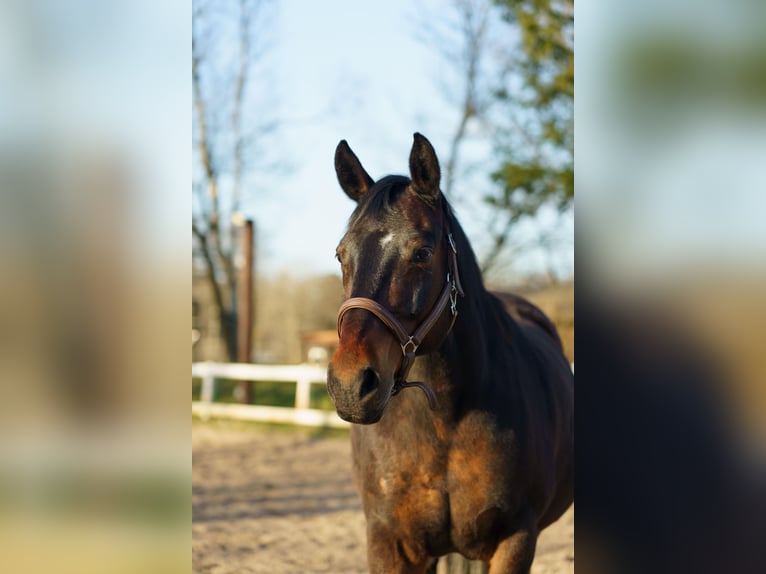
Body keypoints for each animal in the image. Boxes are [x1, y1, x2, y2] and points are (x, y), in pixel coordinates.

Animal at [326, 133, 573, 573]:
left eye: (422, 252)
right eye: (342, 254)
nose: (350, 385)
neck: (445, 421)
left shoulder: (515, 541)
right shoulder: (389, 542)